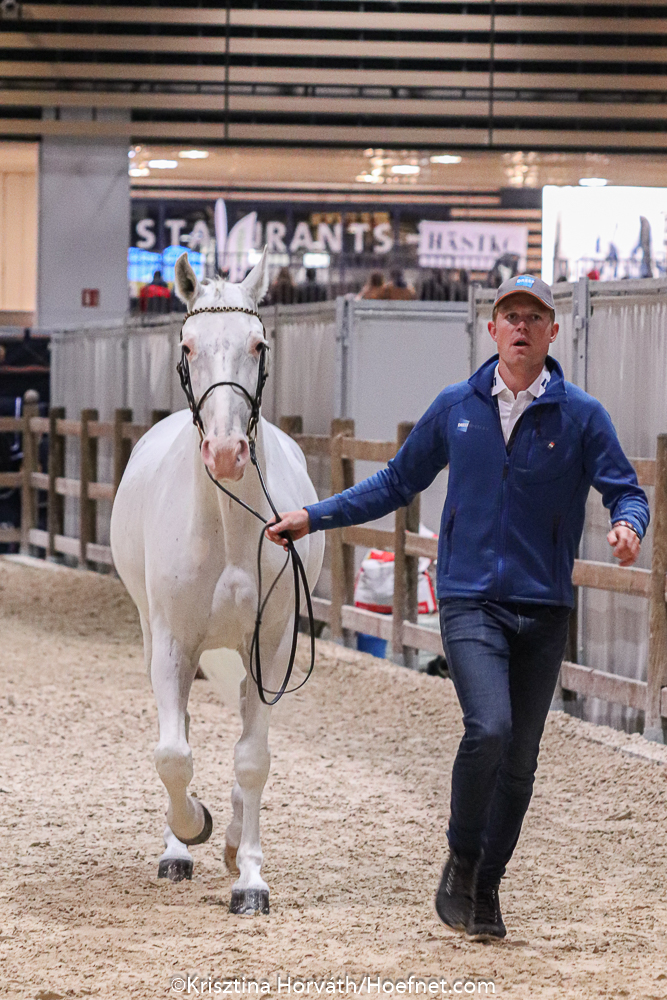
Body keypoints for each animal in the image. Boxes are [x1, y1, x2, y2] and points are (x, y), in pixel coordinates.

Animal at [110, 250, 325, 915]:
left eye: (259, 344)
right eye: (187, 345)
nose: (226, 453)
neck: (232, 524)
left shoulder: (271, 647)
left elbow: (252, 760)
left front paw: (247, 874)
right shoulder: (173, 645)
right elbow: (173, 753)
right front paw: (190, 828)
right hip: (154, 638)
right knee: (177, 734)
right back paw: (180, 848)